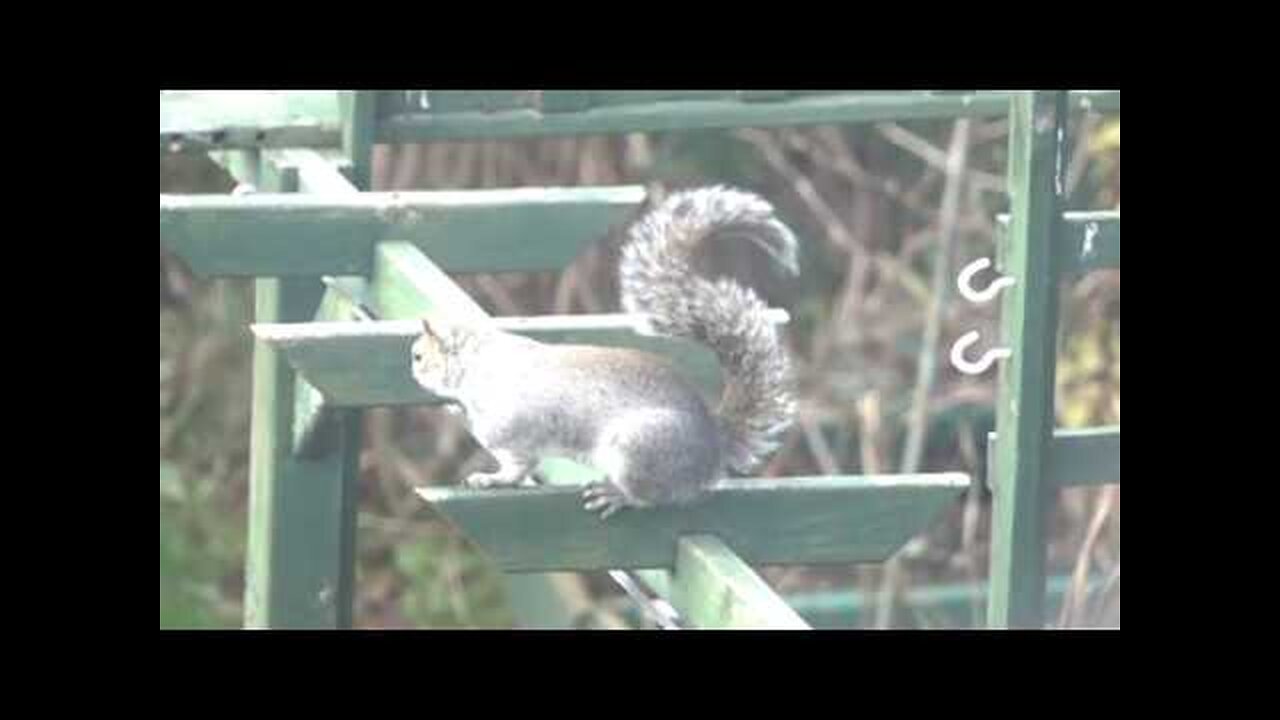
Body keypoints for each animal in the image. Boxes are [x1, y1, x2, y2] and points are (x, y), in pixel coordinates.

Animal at [409, 184, 793, 515]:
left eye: (418, 356)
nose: (412, 370)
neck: (479, 364)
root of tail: (714, 445)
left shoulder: (510, 429)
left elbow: (517, 467)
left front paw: (490, 477)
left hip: (639, 450)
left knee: (650, 496)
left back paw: (617, 495)